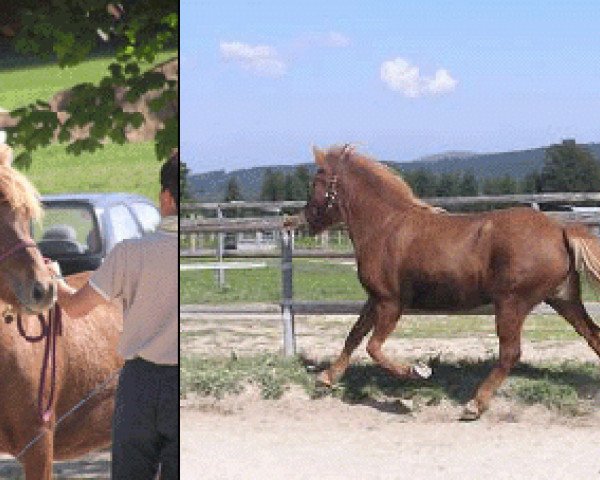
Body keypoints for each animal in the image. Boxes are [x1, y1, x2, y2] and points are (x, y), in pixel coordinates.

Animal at [302, 143, 600, 420]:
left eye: (316, 182)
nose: (307, 219)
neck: (385, 226)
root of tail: (560, 229)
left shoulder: (391, 302)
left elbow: (373, 347)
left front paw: (417, 371)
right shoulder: (375, 299)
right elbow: (354, 335)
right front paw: (327, 377)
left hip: (512, 303)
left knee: (510, 353)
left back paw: (475, 404)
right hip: (563, 298)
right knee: (593, 336)